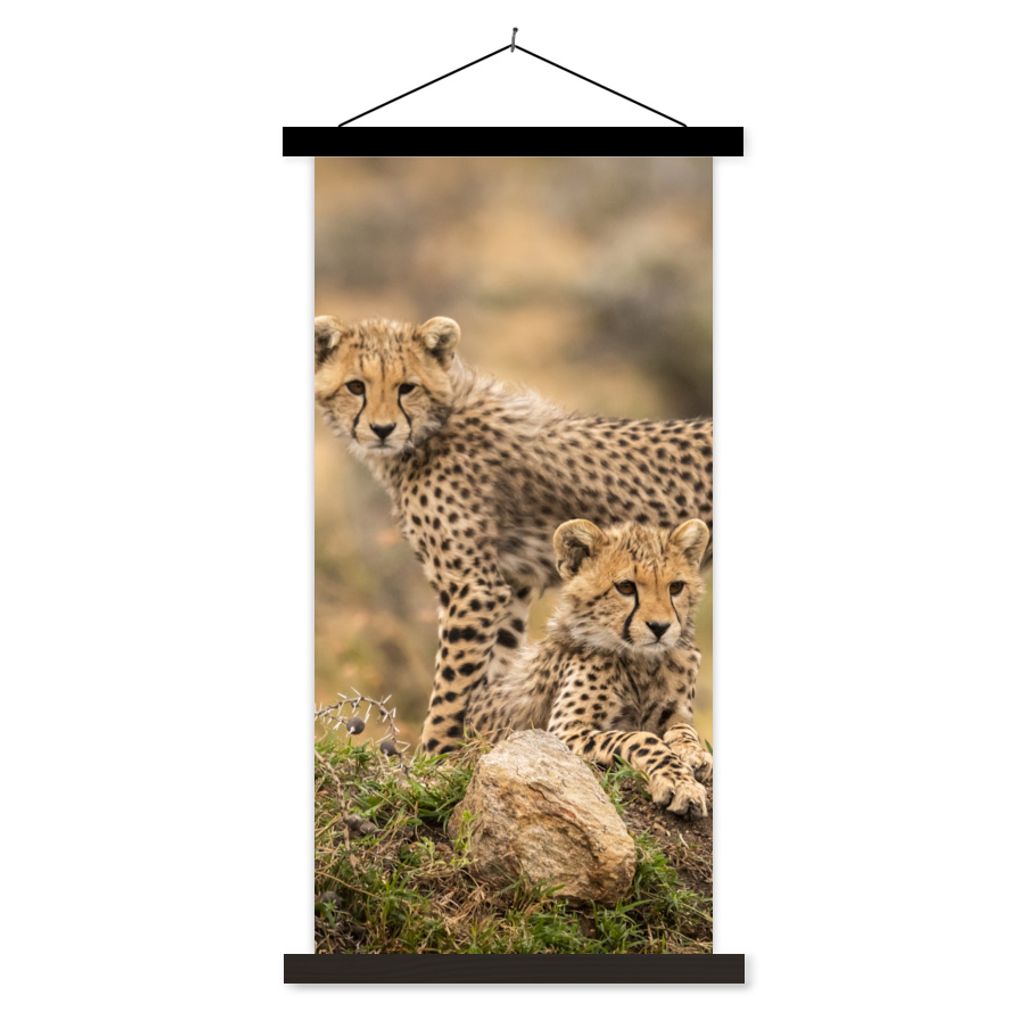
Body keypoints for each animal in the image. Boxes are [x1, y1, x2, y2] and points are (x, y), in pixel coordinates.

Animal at [314, 313, 713, 754]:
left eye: (407, 387)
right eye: (356, 386)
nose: (382, 429)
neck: (437, 425)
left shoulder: (474, 586)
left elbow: (452, 685)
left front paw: (433, 757)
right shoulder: (510, 583)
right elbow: (492, 673)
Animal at [464, 517, 713, 817]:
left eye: (676, 587)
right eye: (626, 587)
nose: (660, 627)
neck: (641, 662)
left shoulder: (674, 713)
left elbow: (684, 730)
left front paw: (695, 754)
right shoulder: (562, 731)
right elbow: (641, 738)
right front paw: (678, 783)